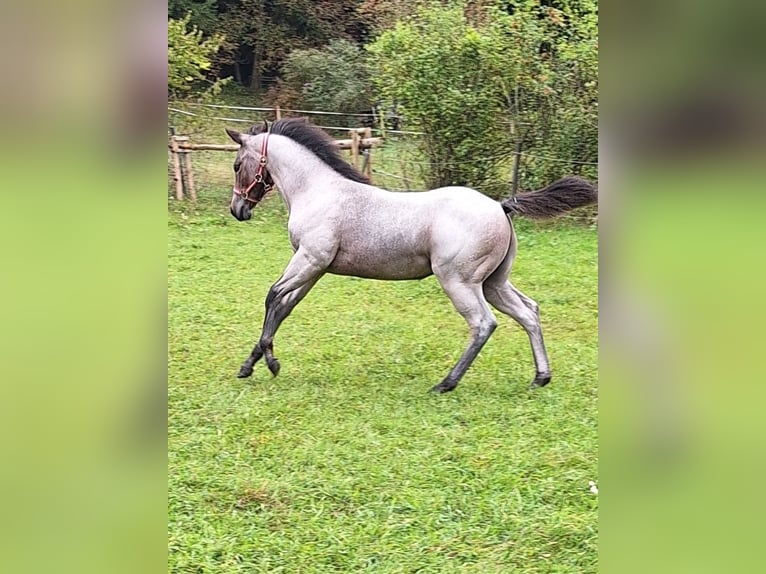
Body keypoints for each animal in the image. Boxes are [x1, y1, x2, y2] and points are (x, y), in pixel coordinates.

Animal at [225, 118, 596, 394]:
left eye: (236, 164)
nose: (238, 210)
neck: (318, 191)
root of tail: (500, 206)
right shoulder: (315, 268)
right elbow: (284, 307)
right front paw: (250, 365)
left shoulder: (310, 260)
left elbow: (272, 296)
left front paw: (270, 363)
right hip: (494, 282)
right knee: (529, 312)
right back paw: (540, 378)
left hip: (459, 281)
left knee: (483, 323)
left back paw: (446, 383)